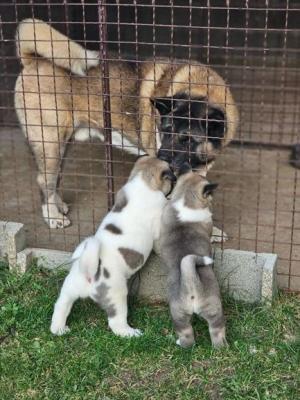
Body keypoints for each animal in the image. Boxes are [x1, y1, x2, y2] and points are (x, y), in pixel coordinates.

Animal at [14, 18, 239, 230]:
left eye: (187, 139)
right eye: (164, 131)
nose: (160, 158)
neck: (202, 89)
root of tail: (32, 60)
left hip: (61, 146)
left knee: (54, 179)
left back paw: (58, 206)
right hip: (51, 143)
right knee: (44, 179)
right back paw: (52, 217)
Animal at [50, 156, 175, 338]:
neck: (142, 181)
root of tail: (89, 275)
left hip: (69, 289)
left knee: (61, 306)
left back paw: (59, 328)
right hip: (117, 295)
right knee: (116, 323)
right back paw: (130, 333)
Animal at [161, 164, 226, 348]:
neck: (186, 198)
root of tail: (191, 284)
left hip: (178, 315)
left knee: (187, 336)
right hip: (214, 309)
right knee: (217, 331)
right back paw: (222, 348)